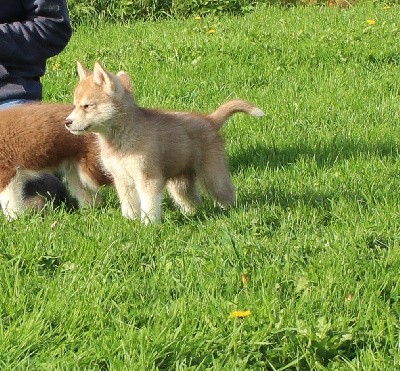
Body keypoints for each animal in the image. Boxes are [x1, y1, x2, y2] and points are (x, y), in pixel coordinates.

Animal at [65, 62, 264, 224]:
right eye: (75, 104)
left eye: (87, 106)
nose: (67, 122)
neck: (120, 138)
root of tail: (210, 119)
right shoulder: (122, 179)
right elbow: (129, 205)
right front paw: (130, 222)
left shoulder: (148, 179)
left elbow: (149, 206)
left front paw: (148, 225)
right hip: (180, 184)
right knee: (193, 201)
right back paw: (192, 215)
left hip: (213, 177)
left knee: (227, 194)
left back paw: (231, 212)